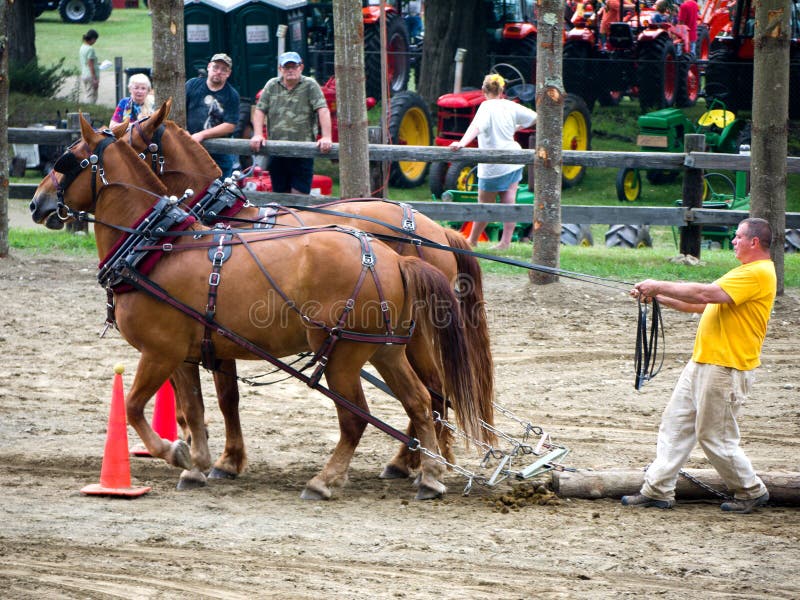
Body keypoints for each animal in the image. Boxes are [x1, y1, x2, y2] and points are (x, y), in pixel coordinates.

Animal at [30, 114, 492, 500]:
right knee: (423, 399)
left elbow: (136, 406)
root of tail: (397, 256)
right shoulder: (190, 353)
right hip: (387, 348)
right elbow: (196, 407)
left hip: (345, 356)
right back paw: (425, 470)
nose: (37, 203)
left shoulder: (161, 351)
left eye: (67, 160)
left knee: (364, 416)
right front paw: (201, 462)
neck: (157, 244)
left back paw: (332, 480)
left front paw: (182, 454)